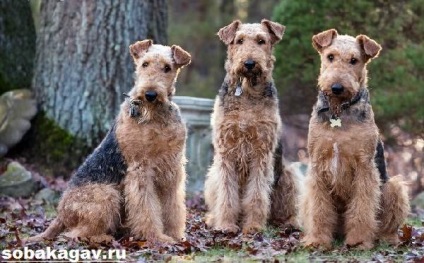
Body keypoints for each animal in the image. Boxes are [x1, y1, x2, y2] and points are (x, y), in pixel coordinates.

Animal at [27, 40, 190, 244]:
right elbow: (146, 209)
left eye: (167, 68)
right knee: (75, 233)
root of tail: (60, 214)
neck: (155, 116)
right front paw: (156, 237)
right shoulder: (140, 170)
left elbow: (173, 207)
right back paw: (105, 238)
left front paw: (175, 235)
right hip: (108, 194)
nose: (150, 94)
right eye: (144, 64)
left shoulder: (172, 169)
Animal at [203, 20, 296, 235]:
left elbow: (257, 194)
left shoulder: (261, 152)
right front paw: (226, 225)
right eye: (239, 40)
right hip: (212, 176)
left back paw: (291, 223)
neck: (246, 91)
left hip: (289, 176)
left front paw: (253, 226)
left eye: (261, 41)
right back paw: (213, 219)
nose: (249, 63)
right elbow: (227, 194)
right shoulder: (226, 152)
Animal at [300, 29, 410, 251]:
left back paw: (388, 239)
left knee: (387, 225)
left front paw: (358, 241)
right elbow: (319, 209)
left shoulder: (364, 166)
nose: (336, 87)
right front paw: (317, 240)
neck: (339, 112)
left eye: (354, 60)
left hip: (394, 186)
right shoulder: (317, 166)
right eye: (330, 56)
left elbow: (362, 208)